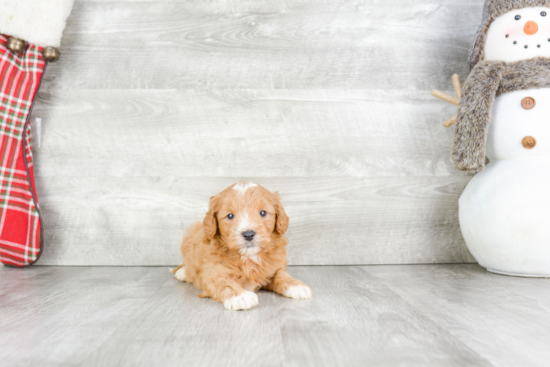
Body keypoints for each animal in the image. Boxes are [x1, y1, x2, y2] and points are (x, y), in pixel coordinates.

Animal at [170, 183, 312, 312]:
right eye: (230, 215)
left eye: (263, 213)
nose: (248, 234)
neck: (248, 257)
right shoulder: (212, 272)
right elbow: (224, 282)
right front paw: (239, 296)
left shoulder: (273, 268)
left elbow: (281, 274)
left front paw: (296, 285)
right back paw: (183, 272)